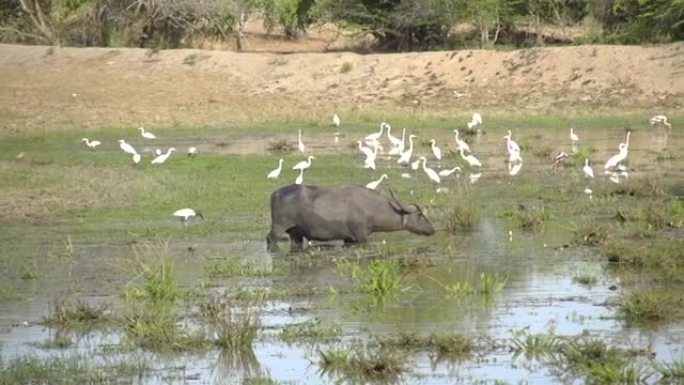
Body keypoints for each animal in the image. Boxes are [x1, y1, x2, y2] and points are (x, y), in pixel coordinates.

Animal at [266, 184, 432, 250]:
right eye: (420, 214)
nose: (432, 229)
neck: (372, 208)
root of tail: (275, 193)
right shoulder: (361, 236)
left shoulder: (349, 239)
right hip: (278, 226)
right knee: (270, 239)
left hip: (295, 232)